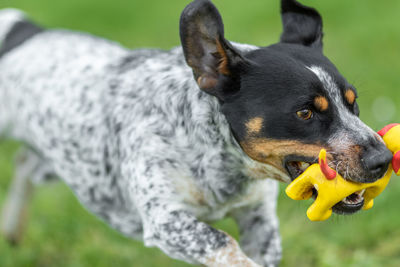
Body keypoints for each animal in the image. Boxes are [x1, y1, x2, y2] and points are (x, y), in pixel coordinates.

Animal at [0, 0, 392, 267]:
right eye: (305, 112)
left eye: (353, 104)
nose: (384, 159)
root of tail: (27, 33)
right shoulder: (166, 219)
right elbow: (223, 243)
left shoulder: (259, 219)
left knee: (24, 163)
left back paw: (13, 228)